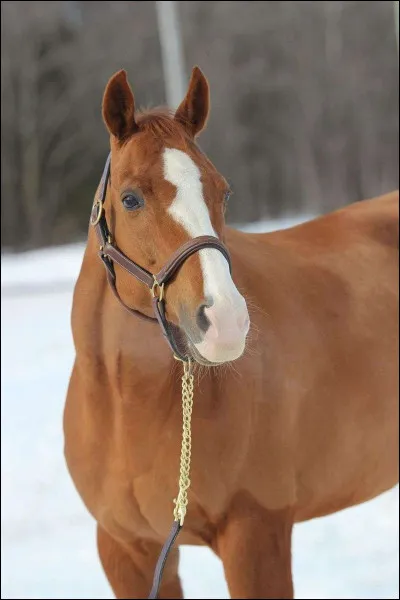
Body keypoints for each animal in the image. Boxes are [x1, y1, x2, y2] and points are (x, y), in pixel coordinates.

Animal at [64, 68, 398, 596]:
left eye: (223, 192)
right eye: (131, 198)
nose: (225, 322)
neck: (127, 408)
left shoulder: (256, 535)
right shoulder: (128, 549)